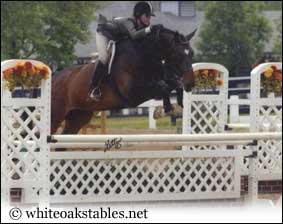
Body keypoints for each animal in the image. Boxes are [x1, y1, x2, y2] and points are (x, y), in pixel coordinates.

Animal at [51, 26, 196, 135]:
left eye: (192, 53)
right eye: (177, 54)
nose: (190, 83)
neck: (143, 55)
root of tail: (54, 78)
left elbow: (173, 84)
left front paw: (178, 102)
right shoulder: (132, 93)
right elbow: (163, 86)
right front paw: (169, 108)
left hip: (78, 117)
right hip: (56, 116)